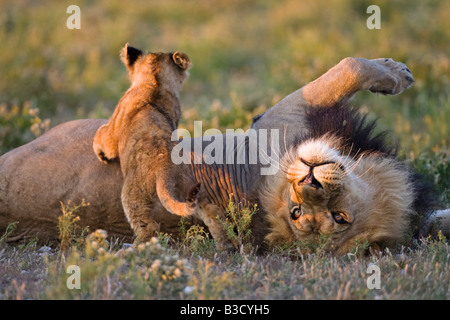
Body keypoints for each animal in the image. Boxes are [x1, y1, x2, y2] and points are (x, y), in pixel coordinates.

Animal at [0, 57, 446, 252]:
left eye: (339, 217)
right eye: (297, 211)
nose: (310, 179)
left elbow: (348, 67)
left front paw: (395, 74)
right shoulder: (282, 115)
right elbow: (349, 67)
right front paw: (397, 73)